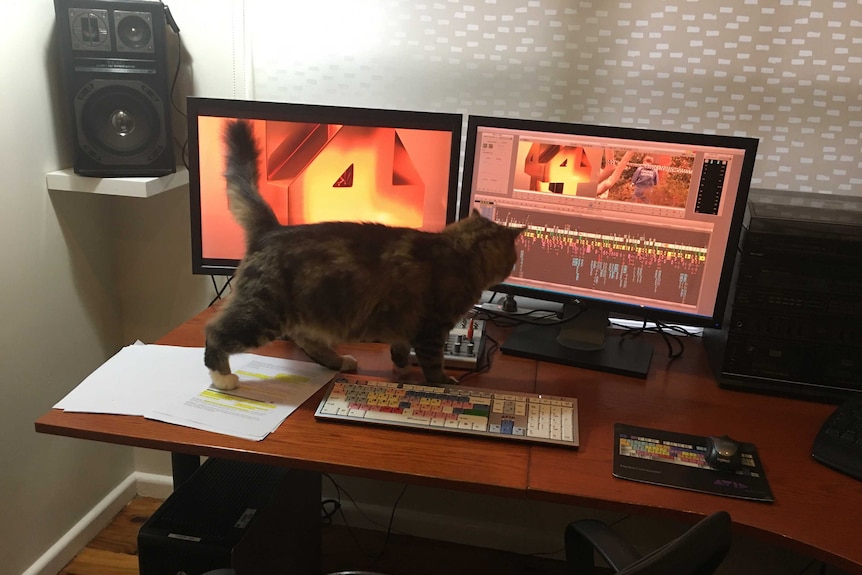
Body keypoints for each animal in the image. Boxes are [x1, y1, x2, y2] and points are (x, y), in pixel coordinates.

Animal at [206, 121, 524, 392]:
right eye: (513, 257)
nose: (513, 266)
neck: (458, 250)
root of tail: (272, 229)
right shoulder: (432, 329)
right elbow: (433, 365)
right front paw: (442, 383)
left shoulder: (404, 327)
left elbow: (399, 352)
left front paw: (402, 372)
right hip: (264, 312)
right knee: (216, 332)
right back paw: (223, 378)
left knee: (308, 342)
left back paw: (340, 361)